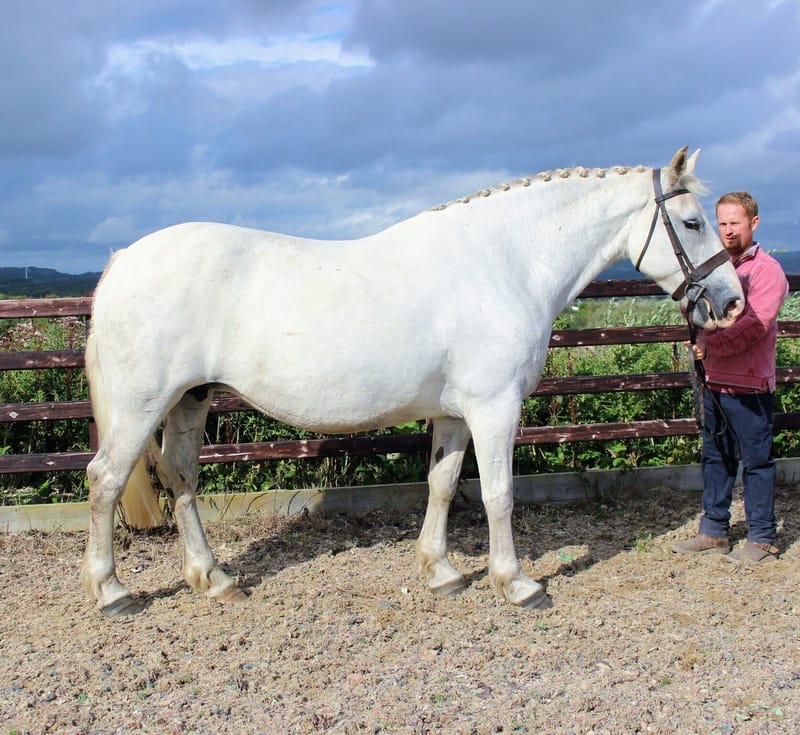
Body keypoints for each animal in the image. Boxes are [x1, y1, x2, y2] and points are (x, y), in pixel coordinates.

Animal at [81, 148, 744, 616]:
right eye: (691, 222)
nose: (731, 301)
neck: (505, 262)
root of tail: (123, 260)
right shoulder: (496, 409)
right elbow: (499, 494)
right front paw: (517, 583)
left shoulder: (454, 413)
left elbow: (444, 485)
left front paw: (441, 572)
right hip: (143, 404)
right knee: (105, 479)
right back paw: (112, 592)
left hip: (188, 399)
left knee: (180, 477)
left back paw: (213, 579)